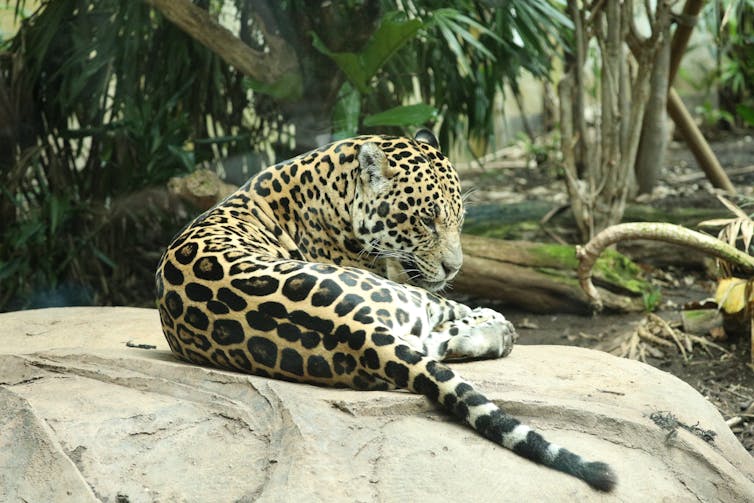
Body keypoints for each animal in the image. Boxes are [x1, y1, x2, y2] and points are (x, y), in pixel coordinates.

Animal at [155, 129, 617, 492]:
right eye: (427, 220)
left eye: (459, 219)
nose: (455, 267)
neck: (335, 181)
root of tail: (353, 327)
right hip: (404, 296)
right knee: (448, 323)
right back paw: (499, 326)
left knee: (435, 344)